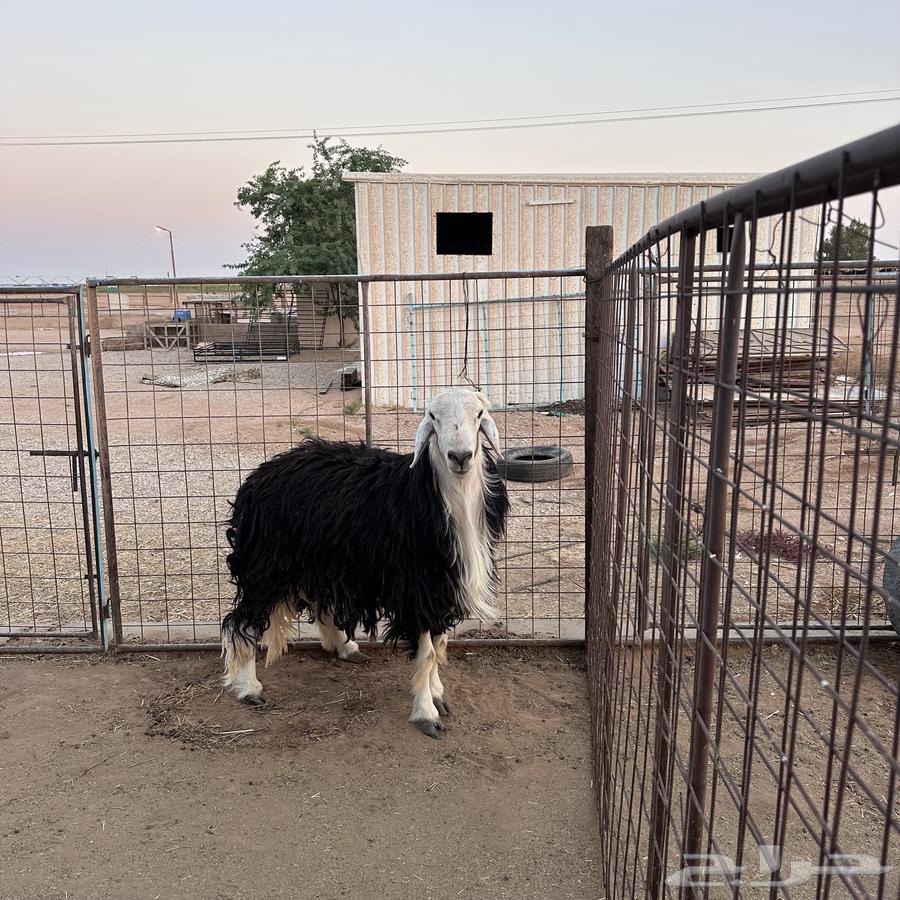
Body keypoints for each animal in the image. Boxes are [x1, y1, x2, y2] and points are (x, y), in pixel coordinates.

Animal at [220, 387, 510, 738]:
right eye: (432, 416)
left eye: (479, 415)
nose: (460, 456)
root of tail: (256, 479)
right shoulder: (416, 587)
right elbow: (427, 653)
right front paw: (426, 713)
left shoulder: (441, 586)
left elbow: (440, 644)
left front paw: (438, 694)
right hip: (267, 565)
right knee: (241, 621)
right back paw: (249, 689)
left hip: (318, 558)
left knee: (318, 600)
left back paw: (345, 647)